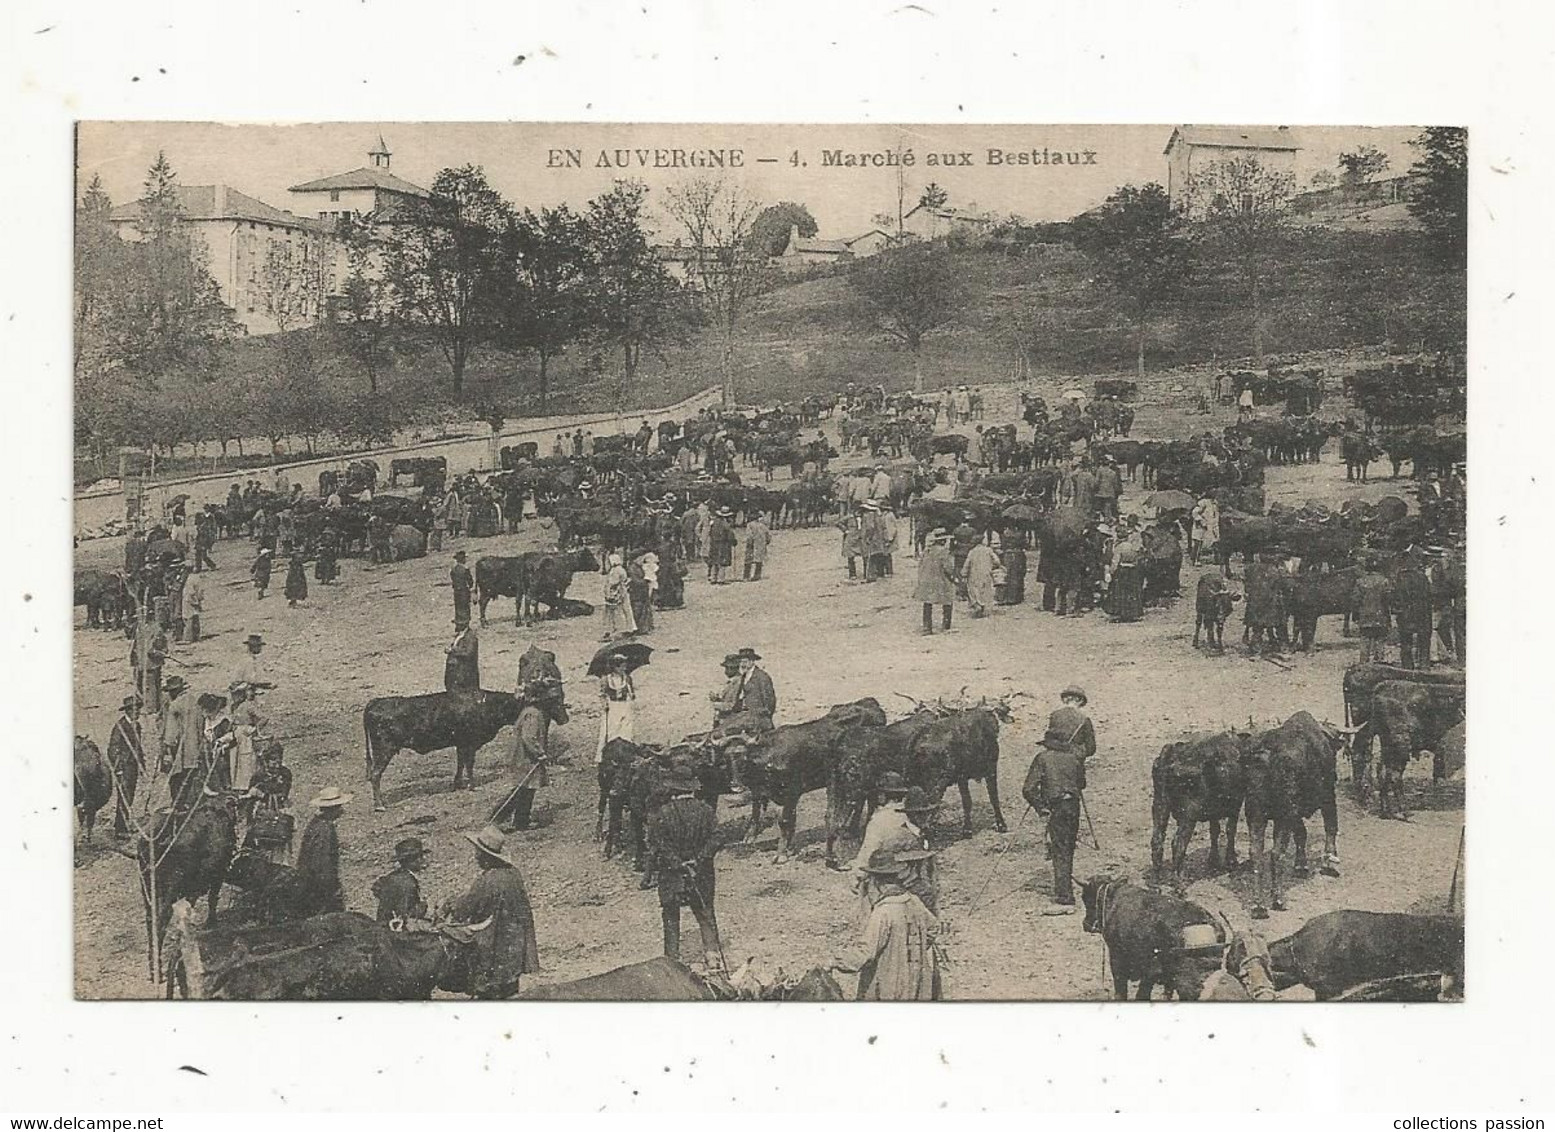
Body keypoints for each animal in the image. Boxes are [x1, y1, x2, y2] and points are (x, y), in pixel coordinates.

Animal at [365, 684, 528, 808]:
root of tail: (376, 702)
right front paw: (472, 786)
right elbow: (469, 764)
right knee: (375, 775)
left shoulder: (461, 744)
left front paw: (458, 784)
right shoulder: (470, 743)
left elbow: (461, 763)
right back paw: (380, 805)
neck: (485, 704)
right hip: (384, 750)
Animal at [1156, 730, 1250, 889]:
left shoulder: (1214, 811)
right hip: (1188, 816)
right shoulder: (1235, 805)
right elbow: (1230, 830)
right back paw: (1178, 881)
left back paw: (1156, 877)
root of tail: (1172, 753)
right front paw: (1231, 861)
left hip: (1160, 807)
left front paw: (1213, 860)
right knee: (1178, 843)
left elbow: (1215, 831)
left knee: (1157, 839)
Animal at [1237, 712, 1349, 914]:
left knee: (1256, 852)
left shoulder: (1294, 814)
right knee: (1276, 854)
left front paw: (1301, 865)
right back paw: (1278, 899)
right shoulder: (1327, 796)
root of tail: (1265, 754)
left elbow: (1301, 835)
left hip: (1255, 813)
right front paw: (1329, 863)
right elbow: (1331, 827)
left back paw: (1258, 905)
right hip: (1283, 816)